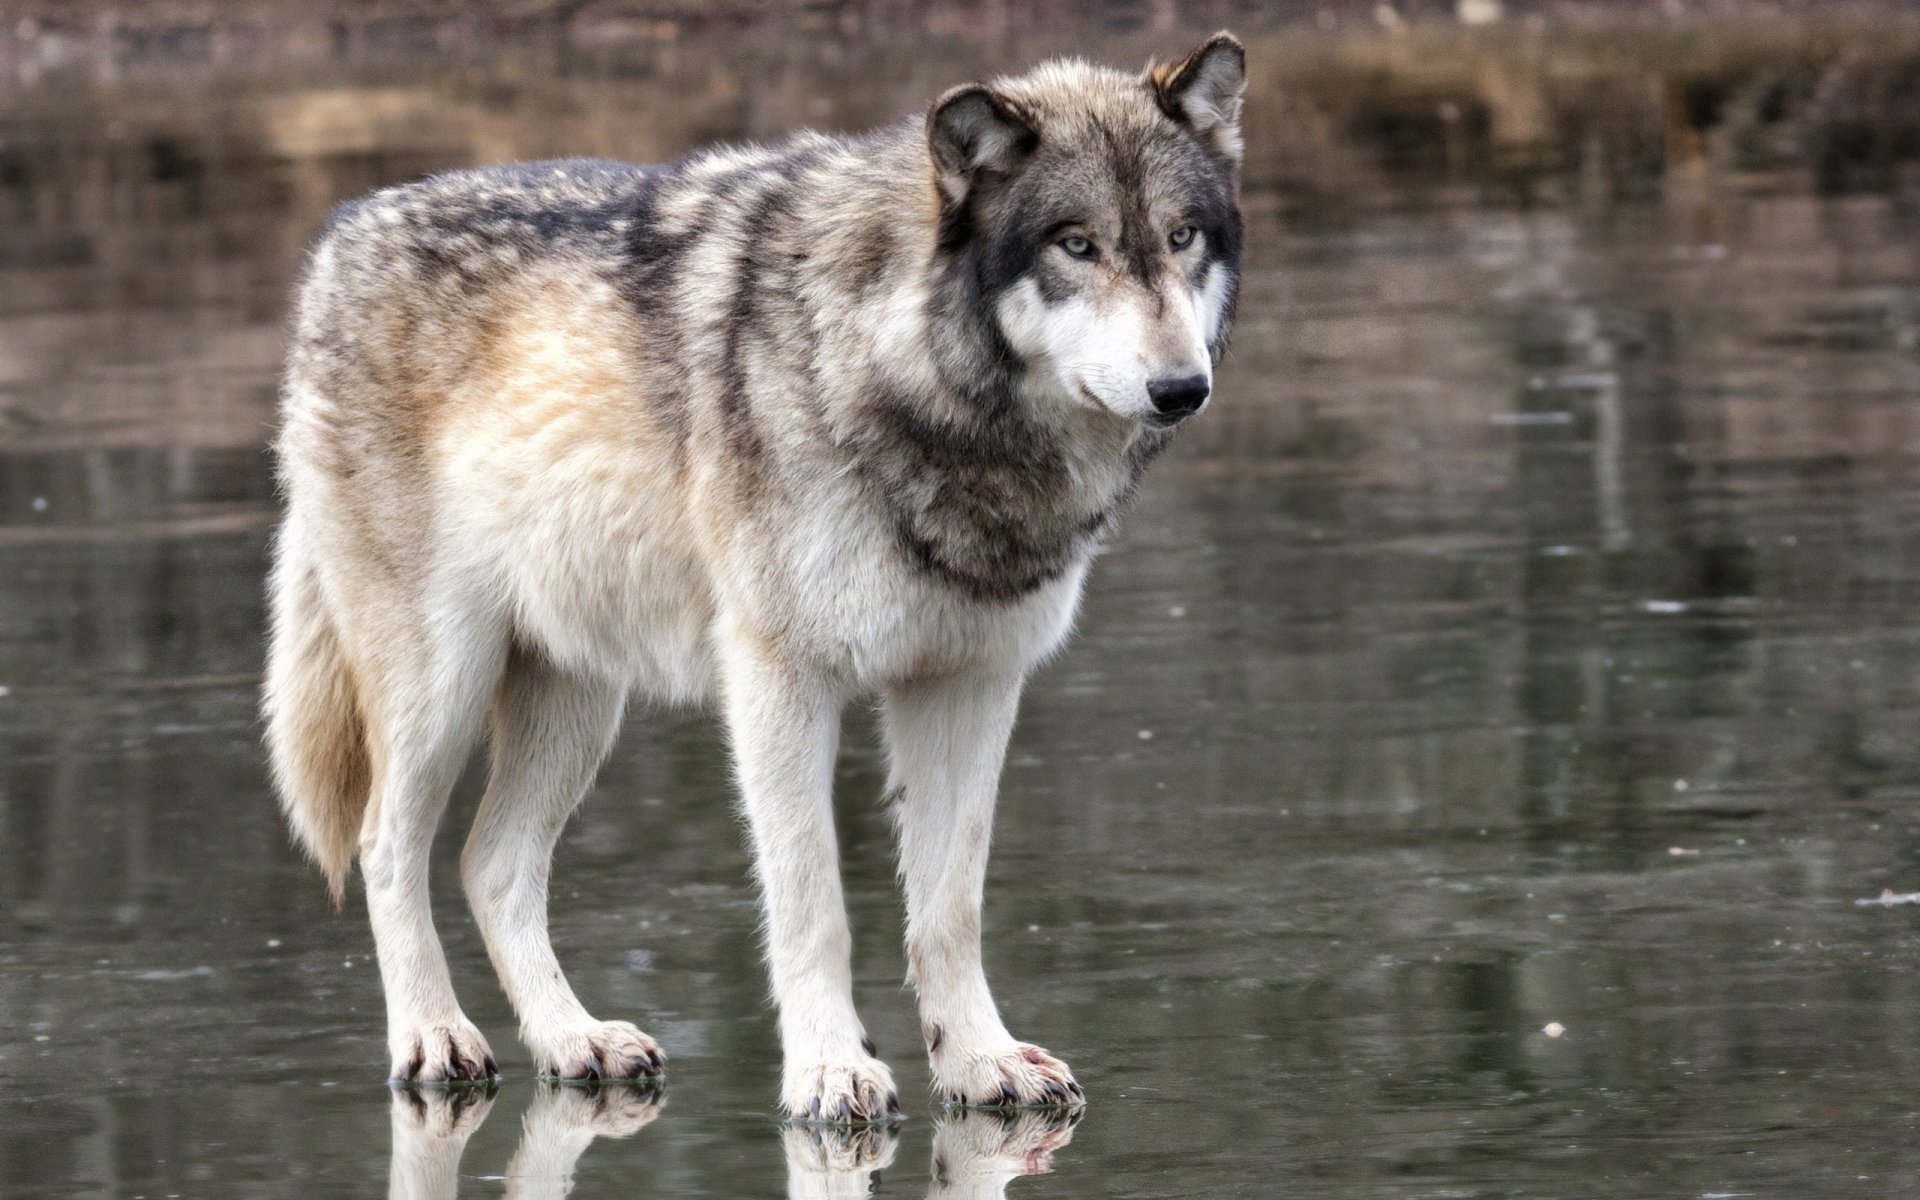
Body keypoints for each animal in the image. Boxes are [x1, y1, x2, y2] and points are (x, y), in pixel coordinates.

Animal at [263, 32, 1246, 1121]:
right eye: (1077, 246)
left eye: (1182, 237)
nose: (1182, 388)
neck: (916, 384)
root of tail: (340, 235)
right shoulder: (782, 684)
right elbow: (815, 903)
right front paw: (830, 1071)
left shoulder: (971, 685)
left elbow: (951, 907)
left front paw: (978, 1061)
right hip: (443, 687)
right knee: (386, 848)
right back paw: (433, 1039)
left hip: (576, 704)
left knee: (492, 864)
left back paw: (573, 1040)